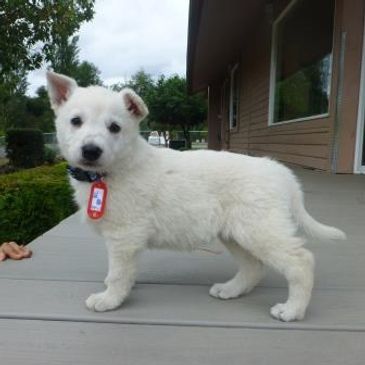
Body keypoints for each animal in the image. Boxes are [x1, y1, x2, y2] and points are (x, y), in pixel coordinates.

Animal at [45, 72, 344, 322]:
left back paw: (292, 310)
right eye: (76, 121)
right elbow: (118, 273)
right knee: (254, 267)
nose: (91, 150)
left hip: (261, 228)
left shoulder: (124, 236)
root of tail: (280, 171)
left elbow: (118, 273)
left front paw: (109, 299)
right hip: (236, 233)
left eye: (115, 127)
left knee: (301, 261)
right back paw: (231, 289)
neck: (113, 169)